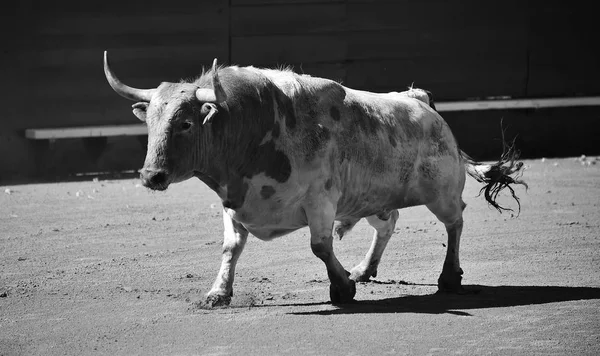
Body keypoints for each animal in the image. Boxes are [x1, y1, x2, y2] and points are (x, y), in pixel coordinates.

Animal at [103, 52, 524, 306]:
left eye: (186, 123)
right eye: (150, 122)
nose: (151, 175)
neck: (252, 126)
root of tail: (419, 99)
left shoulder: (321, 200)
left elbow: (320, 246)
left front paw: (342, 287)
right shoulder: (233, 202)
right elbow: (230, 248)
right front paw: (217, 293)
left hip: (441, 192)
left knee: (455, 222)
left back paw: (449, 277)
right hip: (372, 199)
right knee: (388, 224)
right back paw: (365, 269)